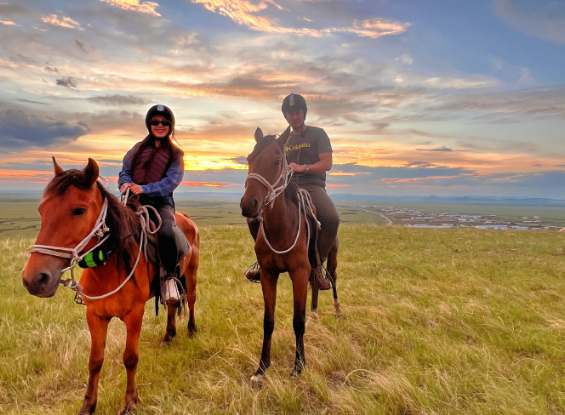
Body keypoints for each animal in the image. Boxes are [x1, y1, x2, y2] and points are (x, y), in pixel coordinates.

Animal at [21, 158, 198, 414]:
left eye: (79, 210)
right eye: (41, 210)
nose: (34, 279)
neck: (109, 268)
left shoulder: (134, 315)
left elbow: (130, 358)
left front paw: (130, 402)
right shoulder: (95, 315)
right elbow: (95, 361)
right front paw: (88, 405)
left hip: (191, 274)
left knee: (191, 300)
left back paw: (191, 330)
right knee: (173, 305)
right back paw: (168, 336)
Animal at [238, 127, 340, 384]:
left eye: (277, 161)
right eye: (249, 159)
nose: (248, 205)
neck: (281, 228)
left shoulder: (298, 273)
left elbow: (297, 321)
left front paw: (298, 366)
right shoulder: (268, 274)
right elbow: (268, 320)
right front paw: (261, 369)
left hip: (332, 257)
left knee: (332, 279)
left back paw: (337, 310)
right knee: (316, 282)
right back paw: (315, 314)